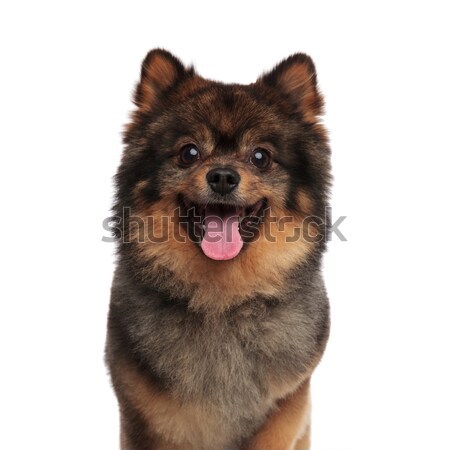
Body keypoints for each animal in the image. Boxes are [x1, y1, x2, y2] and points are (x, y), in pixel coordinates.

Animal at [104, 49, 330, 450]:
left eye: (260, 156)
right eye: (189, 152)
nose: (223, 176)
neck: (222, 300)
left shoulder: (286, 406)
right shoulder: (144, 414)